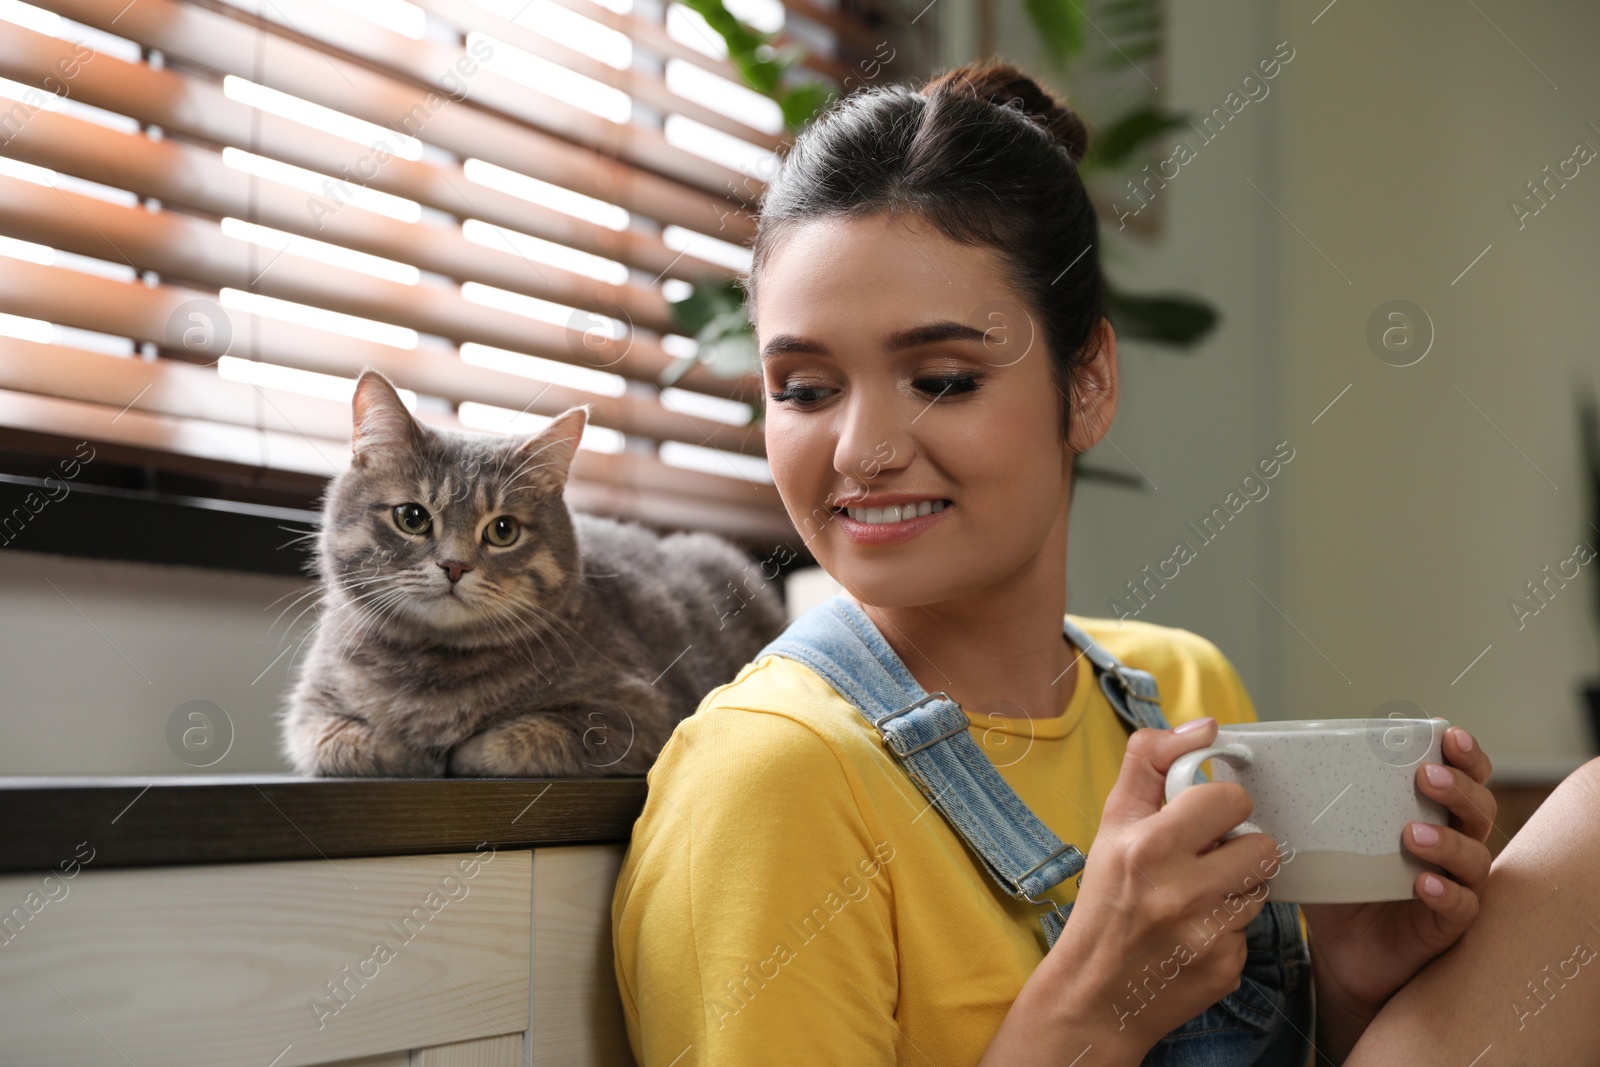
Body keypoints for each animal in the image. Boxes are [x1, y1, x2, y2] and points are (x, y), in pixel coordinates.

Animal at [286, 369, 793, 777]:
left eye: (503, 530)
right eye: (411, 517)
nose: (454, 565)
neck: (435, 668)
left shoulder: (637, 715)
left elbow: (515, 740)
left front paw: (456, 753)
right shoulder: (311, 714)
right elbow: (349, 743)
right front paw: (410, 752)